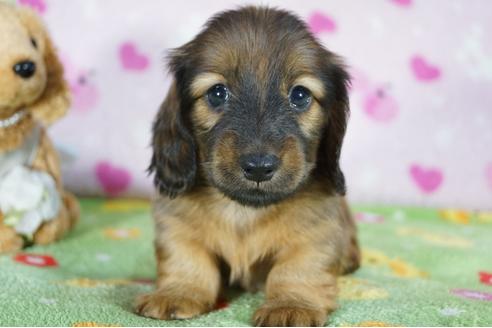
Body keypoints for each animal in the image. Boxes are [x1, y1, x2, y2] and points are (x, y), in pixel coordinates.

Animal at [136, 6, 360, 326]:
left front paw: (291, 305)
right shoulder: (175, 222)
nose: (259, 167)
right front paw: (177, 292)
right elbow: (185, 257)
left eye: (300, 95)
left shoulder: (317, 232)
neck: (244, 211)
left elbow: (297, 269)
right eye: (217, 92)